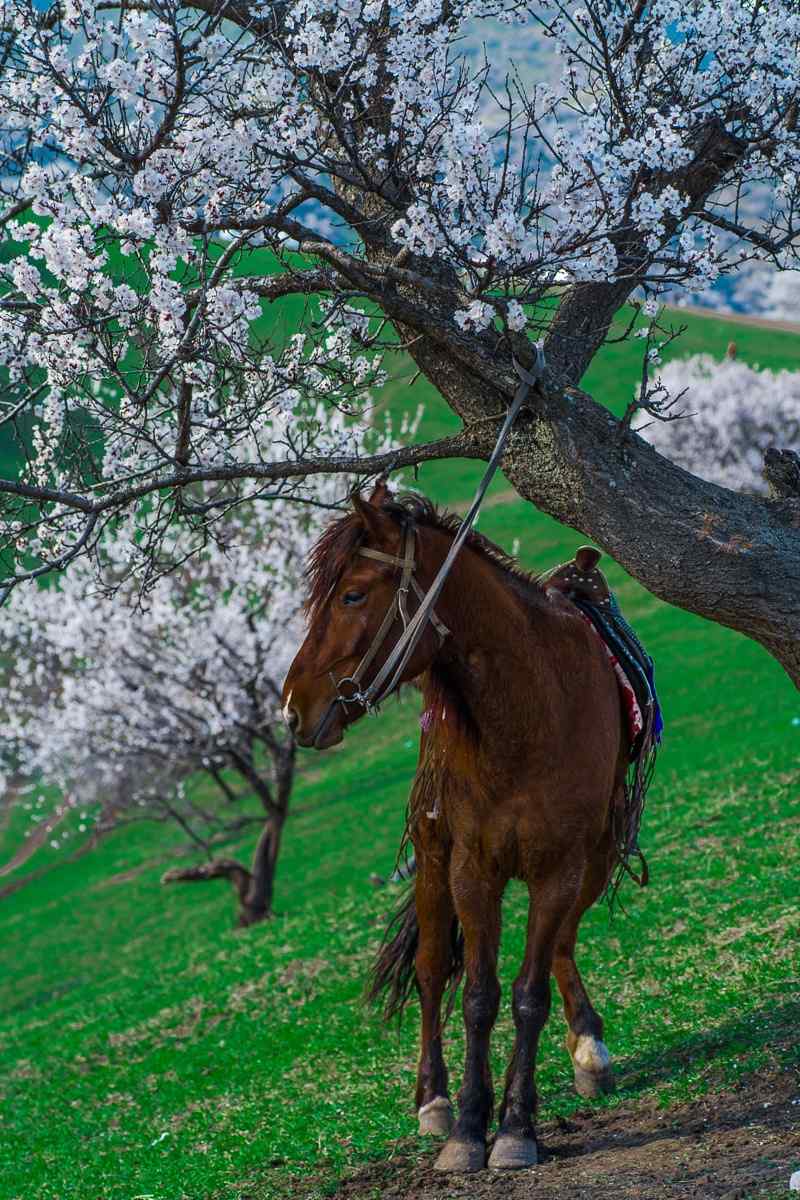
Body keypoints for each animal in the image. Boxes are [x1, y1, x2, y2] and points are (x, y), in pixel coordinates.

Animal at [284, 484, 633, 1171]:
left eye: (353, 595)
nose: (291, 708)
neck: (527, 712)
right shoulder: (473, 867)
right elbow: (476, 995)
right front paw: (470, 1127)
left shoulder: (560, 866)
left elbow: (528, 994)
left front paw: (517, 1127)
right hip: (432, 855)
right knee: (427, 970)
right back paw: (434, 1099)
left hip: (599, 853)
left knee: (560, 943)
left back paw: (588, 1049)